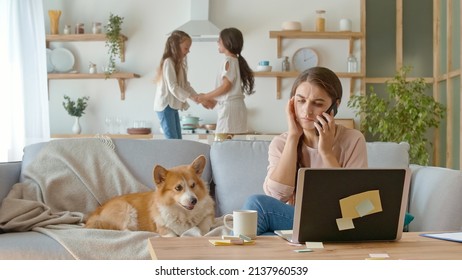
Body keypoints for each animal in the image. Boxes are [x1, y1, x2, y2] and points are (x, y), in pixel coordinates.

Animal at [85, 155, 216, 236]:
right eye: (178, 188)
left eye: (193, 185)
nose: (194, 200)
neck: (184, 214)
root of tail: (97, 211)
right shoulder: (164, 229)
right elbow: (172, 234)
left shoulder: (208, 216)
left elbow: (204, 227)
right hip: (126, 210)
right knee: (125, 230)